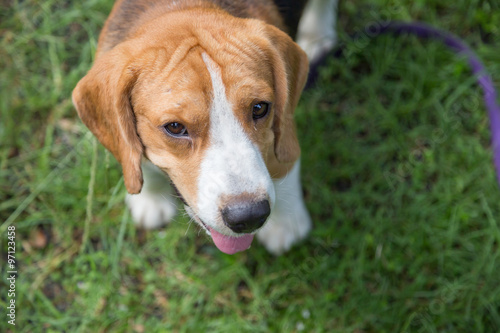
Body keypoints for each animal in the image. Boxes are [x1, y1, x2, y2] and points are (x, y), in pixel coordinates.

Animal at [72, 0, 338, 254]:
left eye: (260, 108)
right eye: (175, 127)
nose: (249, 216)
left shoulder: (279, 133)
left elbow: (284, 163)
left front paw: (286, 223)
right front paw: (152, 198)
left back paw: (317, 35)